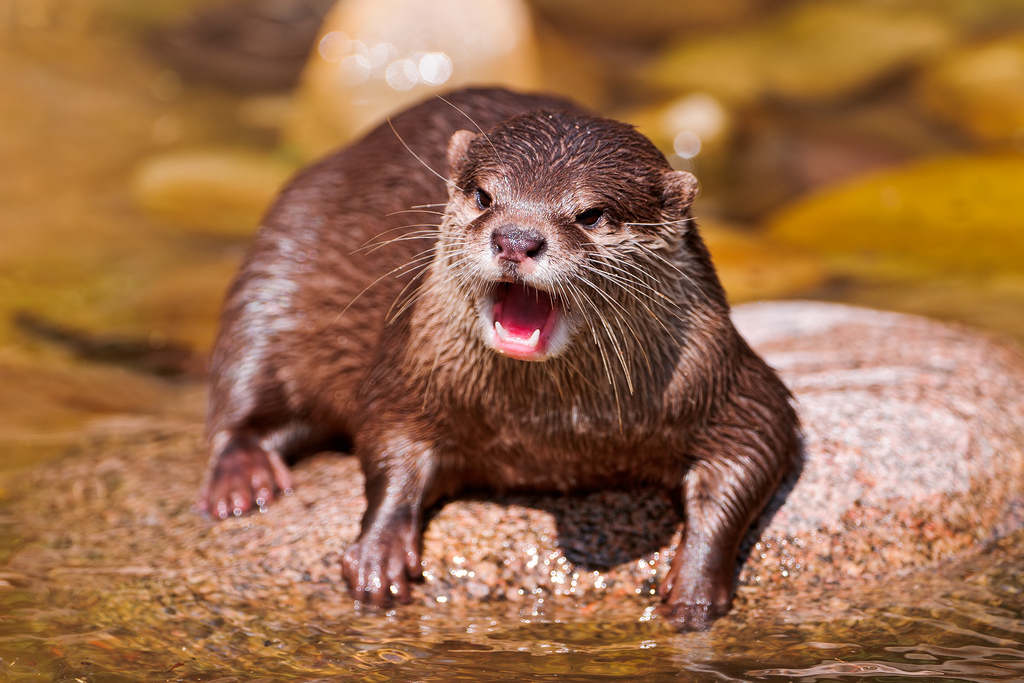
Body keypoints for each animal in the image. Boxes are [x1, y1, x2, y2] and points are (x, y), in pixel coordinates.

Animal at [197, 88, 798, 634]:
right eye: (485, 197)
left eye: (591, 214)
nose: (516, 238)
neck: (553, 426)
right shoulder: (407, 371)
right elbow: (388, 446)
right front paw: (378, 552)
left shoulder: (725, 377)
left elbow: (755, 449)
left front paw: (695, 582)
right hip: (276, 263)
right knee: (244, 388)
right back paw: (242, 478)